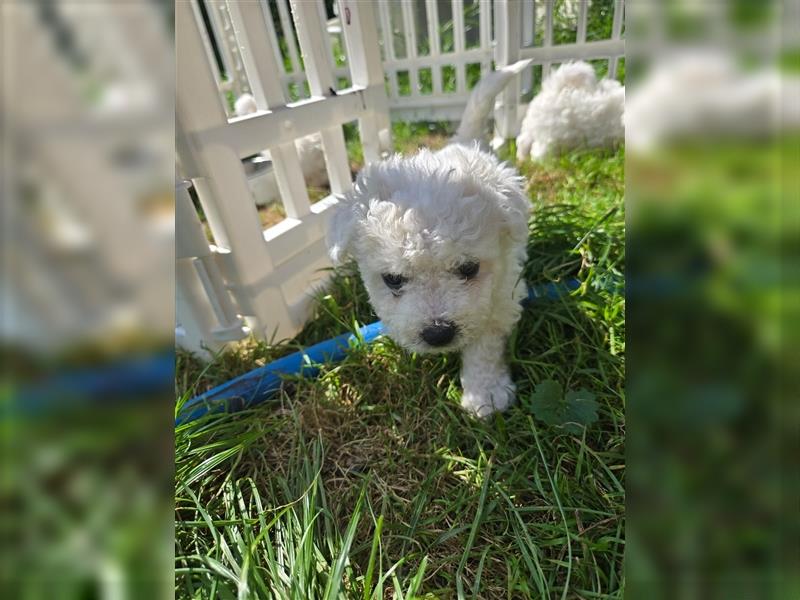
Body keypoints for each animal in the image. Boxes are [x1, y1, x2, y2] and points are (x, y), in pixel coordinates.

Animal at [324, 62, 532, 418]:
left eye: (469, 268)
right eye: (393, 279)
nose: (438, 333)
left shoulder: (502, 292)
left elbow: (485, 341)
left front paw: (485, 393)